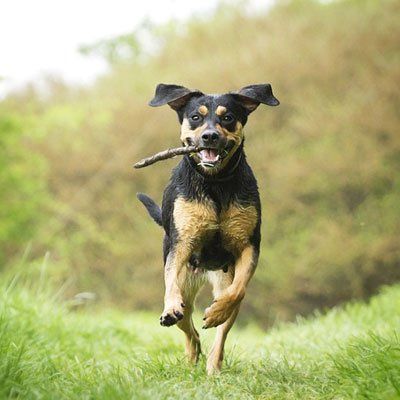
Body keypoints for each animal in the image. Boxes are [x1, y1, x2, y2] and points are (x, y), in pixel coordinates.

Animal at [139, 83, 280, 374]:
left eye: (228, 117)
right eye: (195, 117)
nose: (210, 136)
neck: (215, 183)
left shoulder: (249, 244)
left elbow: (238, 290)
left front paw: (216, 313)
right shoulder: (181, 243)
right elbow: (170, 280)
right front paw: (169, 307)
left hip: (225, 283)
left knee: (220, 333)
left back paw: (213, 365)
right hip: (187, 286)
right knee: (188, 327)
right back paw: (191, 353)